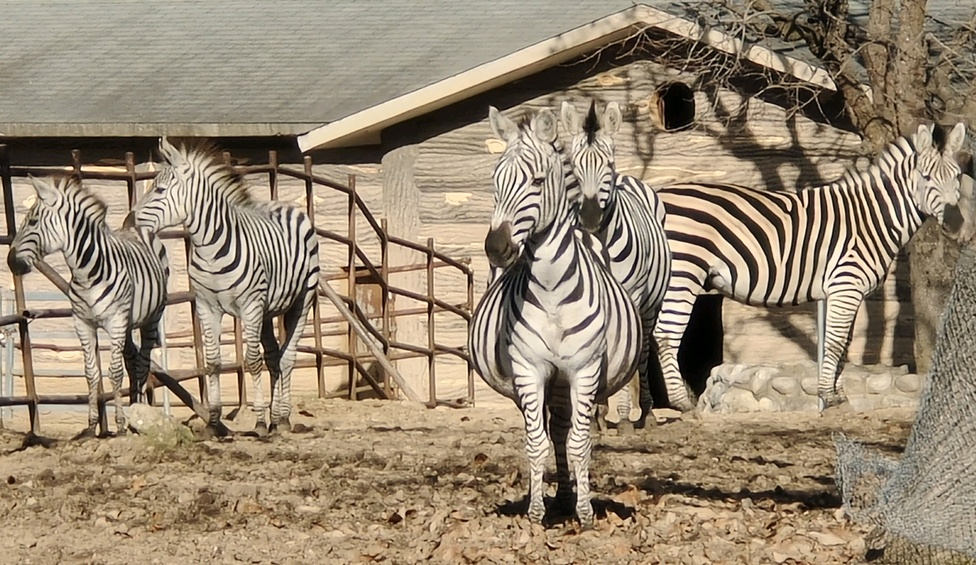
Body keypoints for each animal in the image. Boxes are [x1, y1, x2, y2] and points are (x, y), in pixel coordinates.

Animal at [4, 175, 169, 436]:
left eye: (32, 221)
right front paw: (92, 426)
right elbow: (91, 373)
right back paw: (134, 407)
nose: (11, 262)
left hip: (151, 318)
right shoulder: (82, 323)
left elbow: (114, 372)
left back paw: (139, 413)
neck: (87, 272)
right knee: (132, 361)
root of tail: (138, 228)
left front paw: (119, 425)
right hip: (127, 324)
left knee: (142, 363)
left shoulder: (115, 321)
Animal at [126, 138, 320, 436]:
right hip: (266, 311)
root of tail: (281, 205)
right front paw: (215, 422)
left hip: (302, 299)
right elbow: (212, 363)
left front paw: (259, 422)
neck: (210, 249)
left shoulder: (250, 305)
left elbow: (252, 361)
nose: (127, 222)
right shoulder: (207, 307)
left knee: (287, 357)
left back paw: (283, 418)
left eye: (159, 190)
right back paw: (276, 418)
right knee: (274, 355)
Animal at [468, 104, 644, 524]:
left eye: (537, 181)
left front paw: (584, 511)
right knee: (552, 431)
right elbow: (537, 442)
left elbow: (579, 441)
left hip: (567, 381)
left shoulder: (584, 368)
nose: (495, 248)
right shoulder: (528, 368)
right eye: (495, 180)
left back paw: (568, 497)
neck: (550, 291)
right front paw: (535, 513)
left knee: (564, 431)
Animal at [560, 99, 676, 424]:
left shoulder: (632, 294)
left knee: (644, 346)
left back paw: (644, 409)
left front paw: (623, 414)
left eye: (607, 164)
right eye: (573, 165)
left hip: (650, 303)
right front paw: (597, 410)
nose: (588, 217)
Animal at [656, 121, 968, 410]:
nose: (955, 224)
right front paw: (827, 396)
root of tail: (658, 195)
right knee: (666, 334)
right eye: (926, 177)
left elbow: (844, 344)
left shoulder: (848, 291)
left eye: (957, 176)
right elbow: (835, 342)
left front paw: (838, 397)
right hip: (683, 274)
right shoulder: (846, 285)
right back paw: (681, 403)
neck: (872, 217)